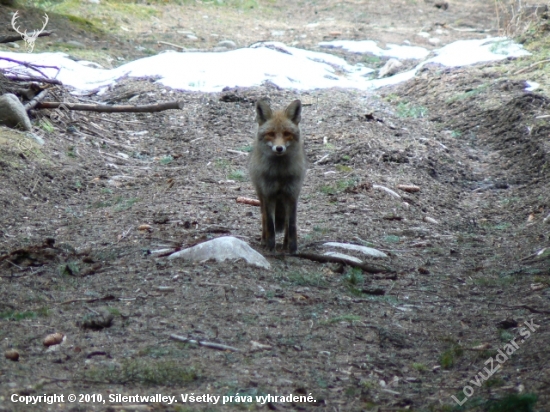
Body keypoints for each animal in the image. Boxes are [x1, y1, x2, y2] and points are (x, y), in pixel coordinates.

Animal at [249, 99, 308, 254]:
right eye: (271, 134)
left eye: (287, 133)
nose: (279, 148)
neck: (280, 174)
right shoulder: (269, 194)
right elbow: (270, 224)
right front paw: (270, 247)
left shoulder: (292, 194)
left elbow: (292, 224)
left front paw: (293, 249)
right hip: (261, 195)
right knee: (264, 218)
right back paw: (264, 240)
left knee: (286, 223)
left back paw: (286, 244)